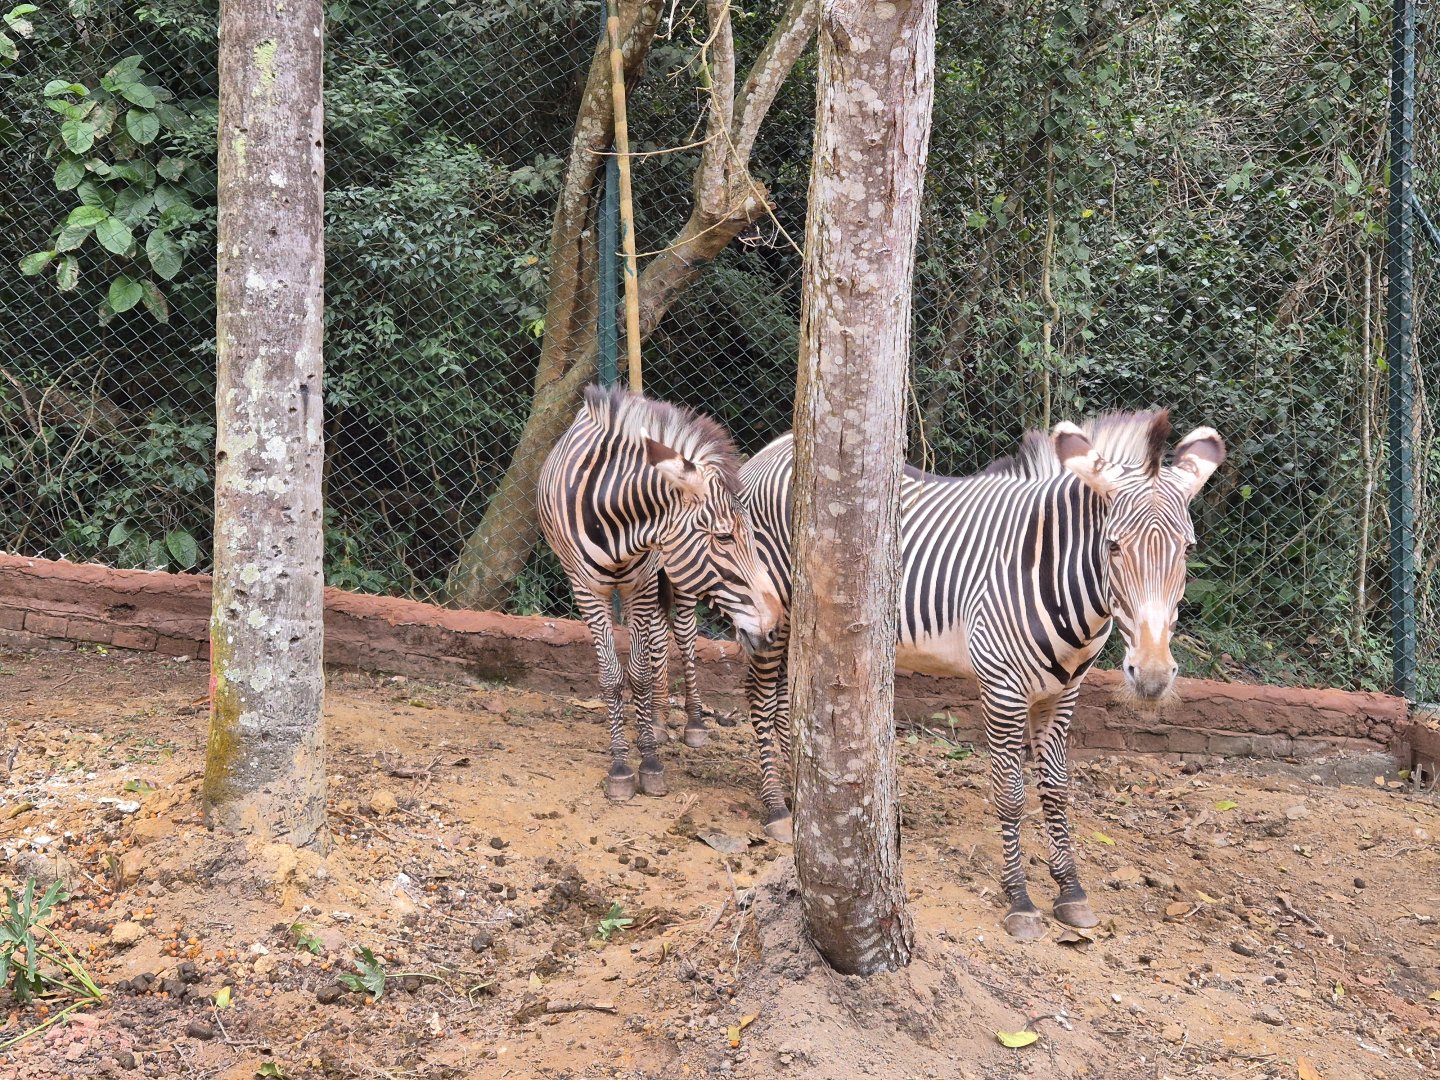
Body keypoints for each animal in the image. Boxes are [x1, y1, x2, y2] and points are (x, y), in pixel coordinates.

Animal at [537, 385, 784, 803]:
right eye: (724, 537)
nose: (773, 625)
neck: (616, 516)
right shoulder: (586, 589)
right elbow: (611, 676)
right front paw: (621, 765)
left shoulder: (642, 582)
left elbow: (638, 672)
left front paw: (650, 761)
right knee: (657, 636)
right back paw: (655, 719)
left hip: (669, 579)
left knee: (680, 634)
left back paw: (689, 721)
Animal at [664, 410, 1225, 940]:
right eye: (1112, 546)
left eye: (1190, 549)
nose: (1152, 675)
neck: (1055, 577)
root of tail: (778, 447)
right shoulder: (1002, 686)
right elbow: (1011, 793)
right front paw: (1021, 902)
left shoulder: (1064, 693)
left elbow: (1056, 788)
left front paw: (1070, 890)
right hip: (771, 613)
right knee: (761, 698)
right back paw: (777, 809)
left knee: (783, 702)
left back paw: (799, 795)